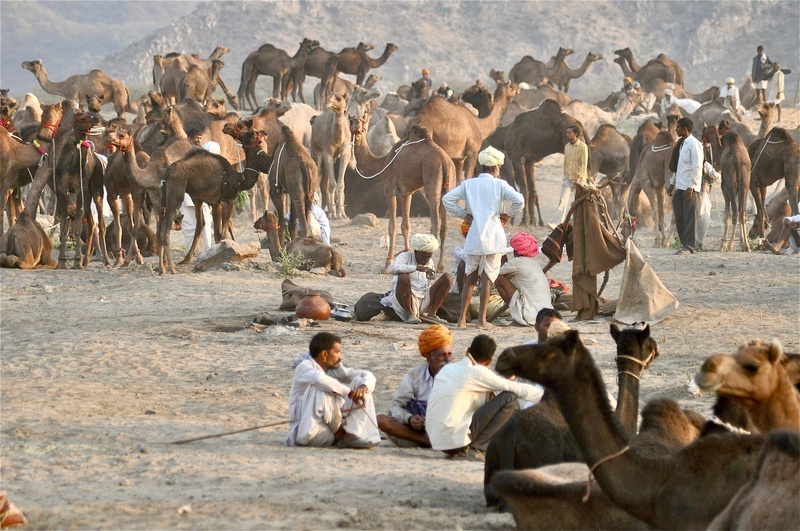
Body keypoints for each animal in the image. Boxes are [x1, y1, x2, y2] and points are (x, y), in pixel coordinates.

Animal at [157, 128, 267, 274]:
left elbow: (202, 226)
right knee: (165, 232)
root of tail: (168, 173)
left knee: (160, 230)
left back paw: (161, 268)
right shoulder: (226, 200)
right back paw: (172, 269)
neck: (239, 179)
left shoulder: (201, 199)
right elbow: (222, 233)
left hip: (164, 198)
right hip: (175, 195)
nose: (261, 136)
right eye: (255, 136)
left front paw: (187, 259)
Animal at [349, 116, 455, 274]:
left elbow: (392, 226)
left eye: (362, 120)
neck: (383, 162)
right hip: (448, 186)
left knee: (435, 223)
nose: (357, 126)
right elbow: (405, 225)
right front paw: (407, 254)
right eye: (351, 119)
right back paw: (441, 266)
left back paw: (431, 264)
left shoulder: (389, 190)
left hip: (432, 178)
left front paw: (387, 265)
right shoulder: (407, 192)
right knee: (445, 226)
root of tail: (444, 162)